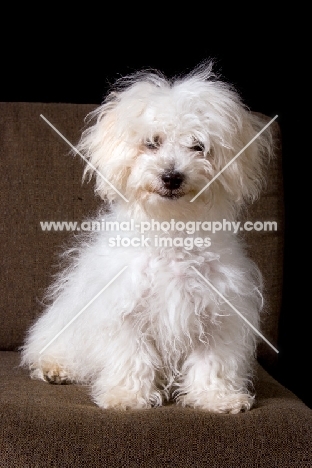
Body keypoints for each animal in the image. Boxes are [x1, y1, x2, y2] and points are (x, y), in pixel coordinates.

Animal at [20, 62, 272, 414]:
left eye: (198, 146)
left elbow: (213, 362)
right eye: (152, 143)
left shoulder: (218, 313)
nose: (171, 176)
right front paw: (125, 396)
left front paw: (217, 397)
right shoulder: (125, 311)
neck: (170, 232)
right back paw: (55, 368)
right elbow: (131, 357)